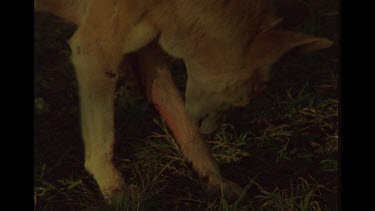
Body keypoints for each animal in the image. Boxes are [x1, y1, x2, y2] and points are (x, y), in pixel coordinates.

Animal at [35, 0, 334, 204]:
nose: (211, 131)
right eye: (238, 101)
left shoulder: (148, 57)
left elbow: (188, 132)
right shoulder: (93, 53)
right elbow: (105, 139)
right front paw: (114, 189)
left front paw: (217, 182)